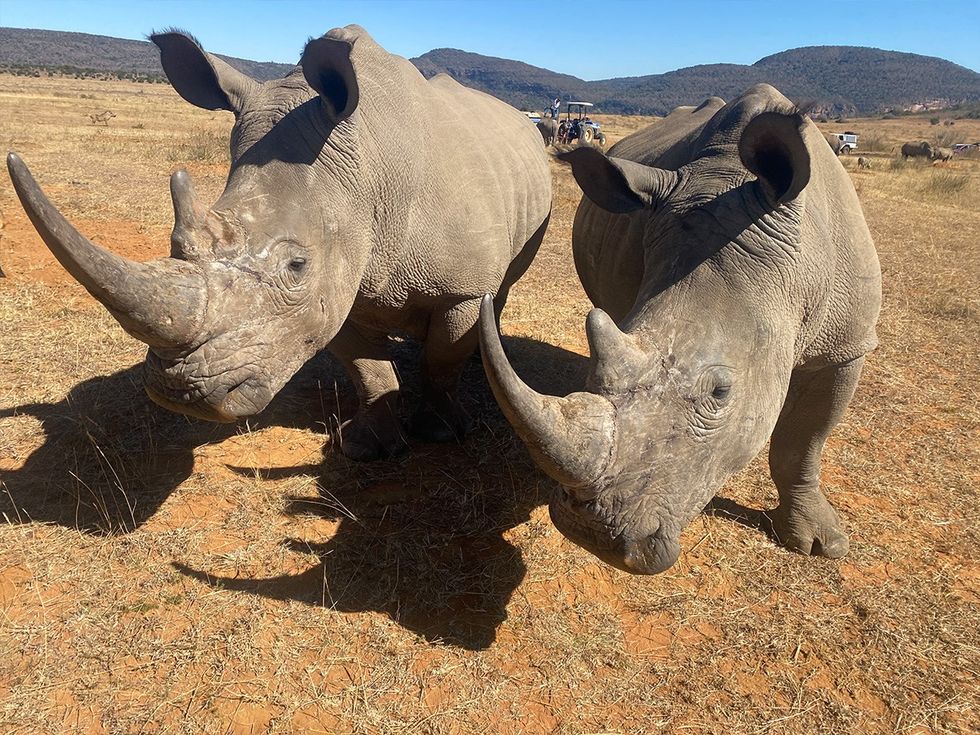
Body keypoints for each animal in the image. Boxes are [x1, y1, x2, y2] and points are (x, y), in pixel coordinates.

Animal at [7, 26, 552, 461]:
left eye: (296, 265)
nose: (181, 391)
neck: (365, 175)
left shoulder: (459, 288)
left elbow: (443, 360)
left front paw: (438, 434)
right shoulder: (341, 280)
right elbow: (367, 369)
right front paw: (367, 447)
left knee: (500, 288)